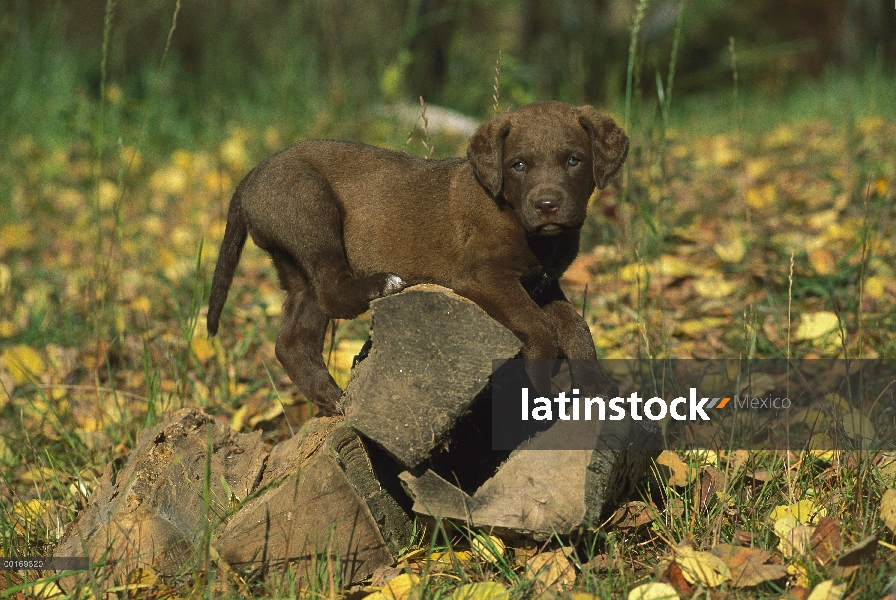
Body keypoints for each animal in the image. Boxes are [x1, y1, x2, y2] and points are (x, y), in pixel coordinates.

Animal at [210, 101, 632, 414]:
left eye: (574, 161)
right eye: (519, 165)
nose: (547, 205)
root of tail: (250, 175)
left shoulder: (542, 283)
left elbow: (577, 326)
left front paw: (597, 388)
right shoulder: (482, 275)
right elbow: (541, 328)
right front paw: (542, 393)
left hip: (296, 270)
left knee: (292, 342)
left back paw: (334, 400)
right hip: (311, 209)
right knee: (331, 290)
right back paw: (383, 284)